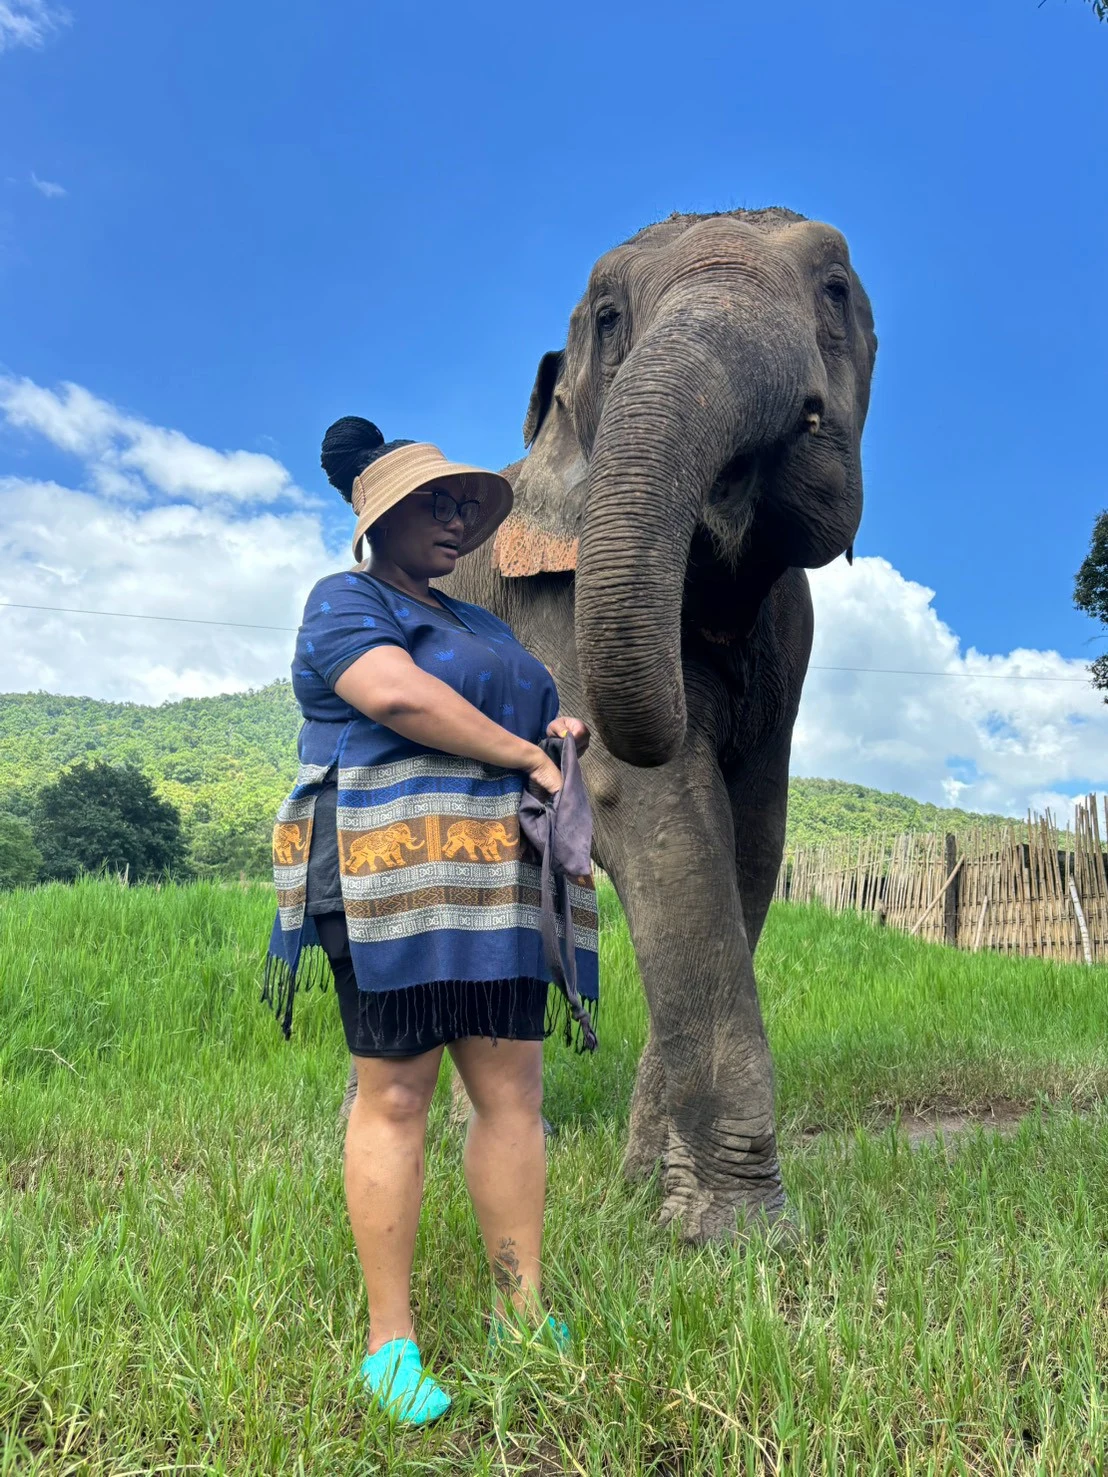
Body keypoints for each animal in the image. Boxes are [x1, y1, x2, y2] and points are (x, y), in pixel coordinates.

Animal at [342, 207, 876, 1242]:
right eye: (610, 319)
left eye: (835, 291)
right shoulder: (559, 599)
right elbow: (659, 809)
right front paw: (737, 1238)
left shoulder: (791, 637)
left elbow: (751, 838)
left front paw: (655, 1200)